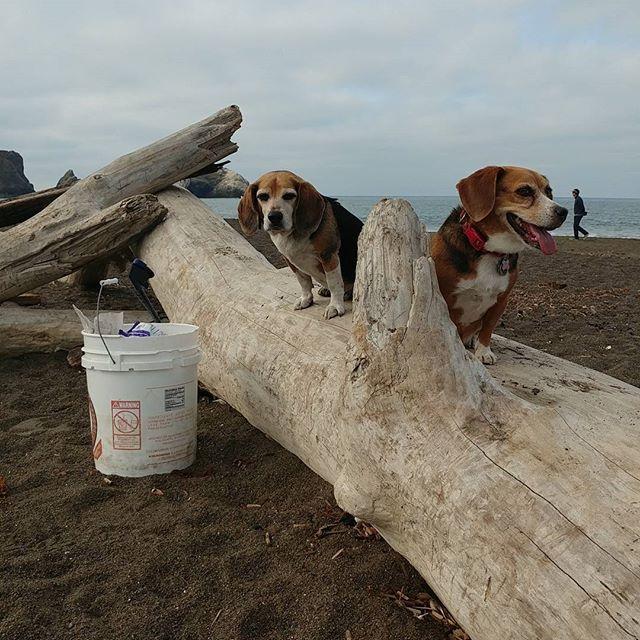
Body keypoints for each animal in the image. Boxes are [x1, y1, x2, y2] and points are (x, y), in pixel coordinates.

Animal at [238, 171, 363, 319]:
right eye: (262, 196)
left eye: (289, 196)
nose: (274, 216)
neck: (293, 234)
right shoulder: (291, 260)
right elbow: (304, 282)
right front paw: (306, 299)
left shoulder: (329, 256)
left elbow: (334, 283)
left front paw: (335, 306)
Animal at [431, 165, 567, 364]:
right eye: (524, 191)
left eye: (549, 191)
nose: (563, 212)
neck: (489, 250)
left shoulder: (502, 299)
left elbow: (487, 328)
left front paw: (483, 351)